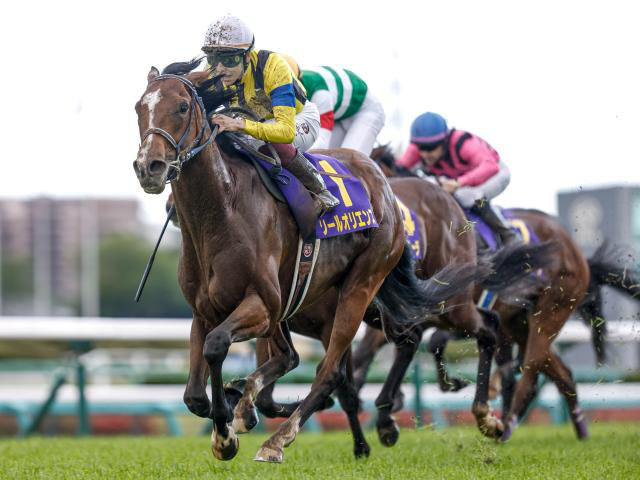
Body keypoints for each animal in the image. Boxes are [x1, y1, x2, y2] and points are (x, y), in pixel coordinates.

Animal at [132, 62, 482, 464]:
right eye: (139, 108)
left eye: (182, 107)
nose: (149, 167)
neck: (221, 212)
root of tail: (383, 184)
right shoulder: (205, 311)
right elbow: (194, 395)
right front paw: (229, 421)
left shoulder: (264, 305)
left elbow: (219, 347)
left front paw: (228, 431)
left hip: (362, 286)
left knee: (331, 371)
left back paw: (279, 440)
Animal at [356, 146, 592, 442]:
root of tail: (571, 245)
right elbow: (373, 351)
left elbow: (428, 342)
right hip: (520, 324)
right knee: (560, 373)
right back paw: (579, 428)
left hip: (550, 313)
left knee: (529, 372)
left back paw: (504, 424)